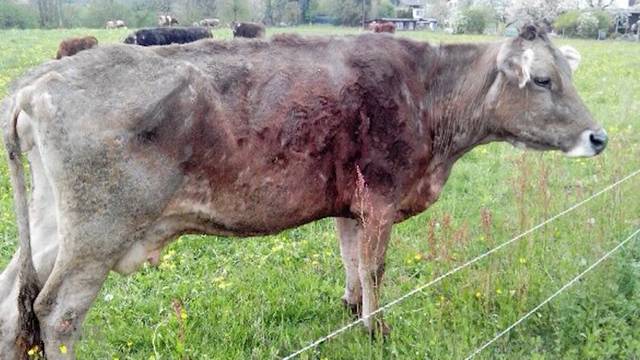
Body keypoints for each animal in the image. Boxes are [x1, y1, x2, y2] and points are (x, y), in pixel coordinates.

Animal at [0, 24, 608, 358]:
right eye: (543, 80)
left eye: (568, 75)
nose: (598, 137)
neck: (426, 96)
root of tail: (39, 79)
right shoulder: (380, 199)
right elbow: (375, 270)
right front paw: (377, 331)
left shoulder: (350, 205)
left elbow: (351, 265)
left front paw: (352, 315)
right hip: (98, 231)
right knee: (57, 311)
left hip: (52, 225)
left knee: (13, 297)